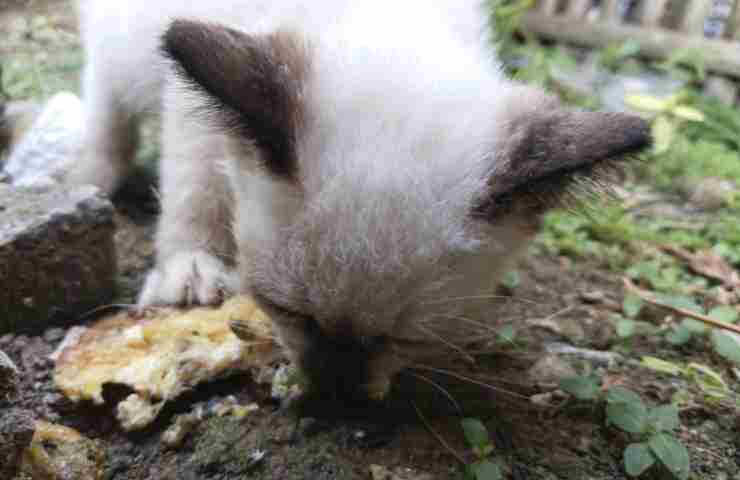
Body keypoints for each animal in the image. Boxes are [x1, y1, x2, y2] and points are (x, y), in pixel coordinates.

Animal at [68, 0, 648, 400]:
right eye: (285, 310)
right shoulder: (195, 100)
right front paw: (190, 268)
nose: (337, 385)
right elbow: (195, 182)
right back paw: (91, 175)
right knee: (106, 99)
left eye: (409, 339)